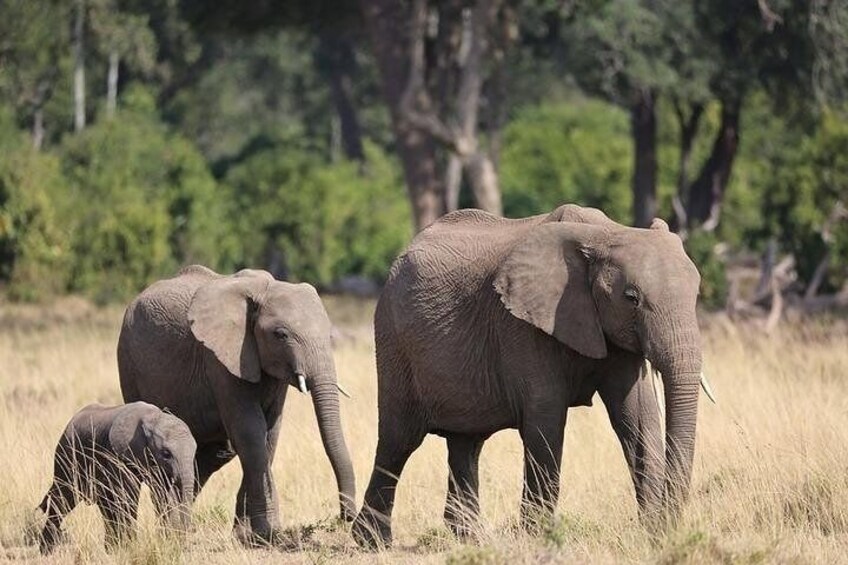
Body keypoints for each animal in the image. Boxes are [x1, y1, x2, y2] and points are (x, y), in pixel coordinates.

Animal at [37, 400, 197, 552]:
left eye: (195, 451)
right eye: (166, 454)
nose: (186, 544)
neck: (154, 417)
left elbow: (163, 495)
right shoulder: (119, 455)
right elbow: (128, 495)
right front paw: (132, 546)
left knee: (104, 504)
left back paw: (110, 549)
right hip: (67, 455)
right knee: (63, 498)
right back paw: (46, 550)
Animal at [117, 266, 356, 544]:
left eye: (329, 335)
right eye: (281, 335)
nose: (346, 516)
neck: (265, 289)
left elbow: (269, 435)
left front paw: (247, 535)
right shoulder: (220, 359)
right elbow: (250, 433)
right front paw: (267, 534)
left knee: (215, 453)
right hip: (128, 361)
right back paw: (169, 533)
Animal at [352, 204, 716, 548]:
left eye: (696, 294)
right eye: (631, 298)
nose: (669, 526)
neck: (603, 233)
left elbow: (637, 418)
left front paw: (654, 534)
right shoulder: (524, 325)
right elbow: (546, 423)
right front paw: (537, 537)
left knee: (466, 443)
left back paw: (470, 538)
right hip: (394, 339)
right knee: (399, 440)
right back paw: (372, 541)